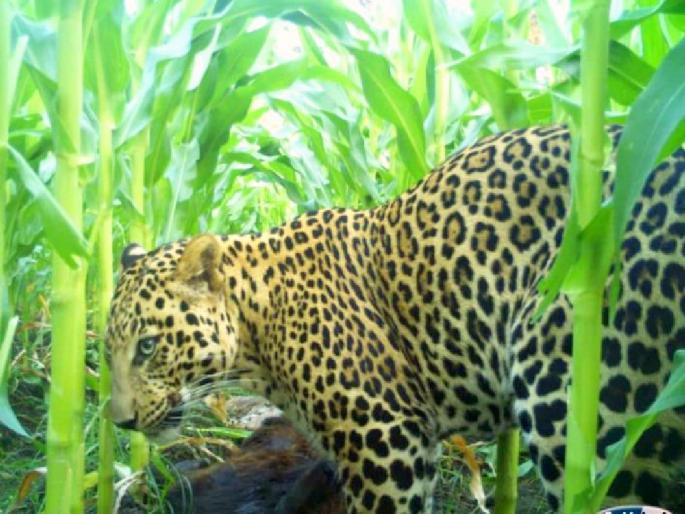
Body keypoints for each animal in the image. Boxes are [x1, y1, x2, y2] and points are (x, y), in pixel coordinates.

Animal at [106, 125, 685, 513]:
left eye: (149, 346)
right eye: (110, 351)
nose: (122, 422)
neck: (258, 322)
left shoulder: (385, 440)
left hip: (583, 404)